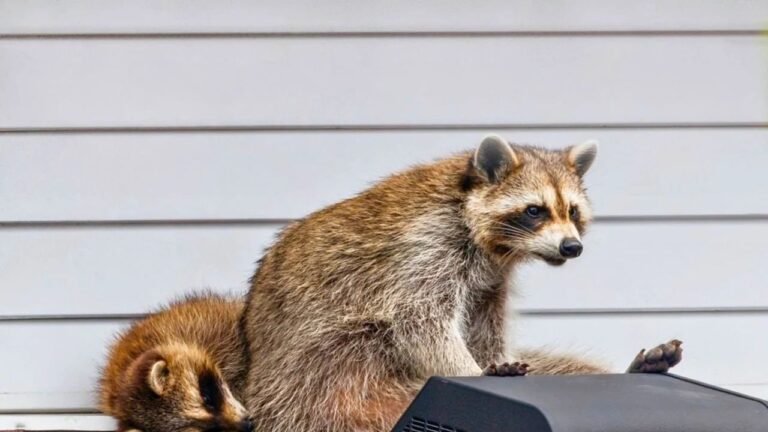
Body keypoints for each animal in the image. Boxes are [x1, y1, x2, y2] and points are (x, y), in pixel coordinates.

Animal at [241, 135, 682, 432]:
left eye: (572, 211)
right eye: (535, 210)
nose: (572, 247)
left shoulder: (492, 279)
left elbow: (485, 330)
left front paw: (492, 361)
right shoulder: (424, 249)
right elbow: (419, 320)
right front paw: (471, 371)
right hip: (323, 389)